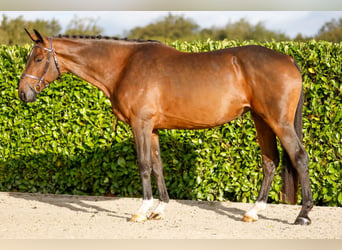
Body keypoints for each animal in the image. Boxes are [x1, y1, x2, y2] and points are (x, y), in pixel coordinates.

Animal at [18, 29, 312, 225]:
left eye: (38, 59)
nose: (23, 93)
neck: (124, 66)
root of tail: (287, 58)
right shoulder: (153, 129)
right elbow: (158, 166)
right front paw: (159, 209)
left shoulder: (140, 124)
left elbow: (144, 165)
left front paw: (141, 210)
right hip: (261, 120)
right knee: (270, 161)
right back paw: (253, 212)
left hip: (278, 121)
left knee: (299, 156)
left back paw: (303, 214)